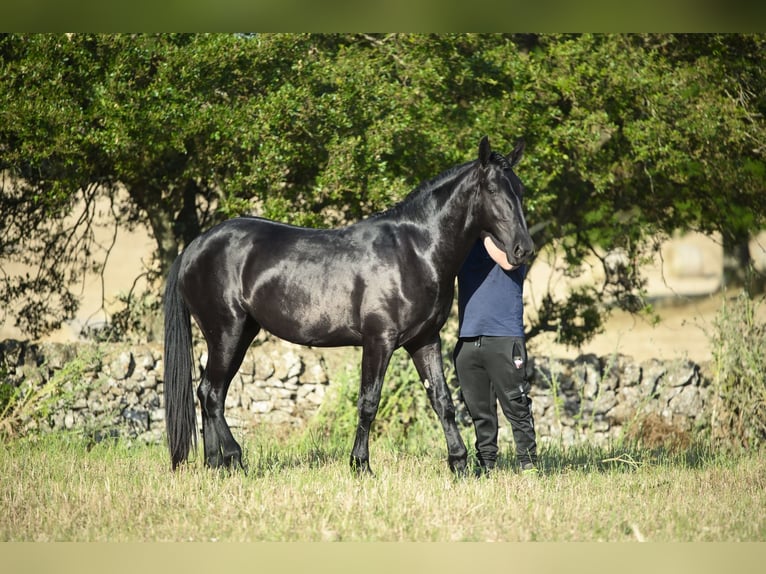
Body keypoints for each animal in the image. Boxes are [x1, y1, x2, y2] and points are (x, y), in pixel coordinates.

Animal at [163, 136, 534, 475]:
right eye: (492, 189)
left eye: (520, 189)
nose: (523, 249)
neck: (415, 250)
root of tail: (196, 246)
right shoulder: (378, 340)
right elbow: (369, 402)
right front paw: (361, 465)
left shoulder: (425, 340)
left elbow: (442, 400)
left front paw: (458, 464)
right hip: (227, 332)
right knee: (212, 394)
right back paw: (234, 459)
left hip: (239, 334)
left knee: (210, 392)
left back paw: (216, 464)